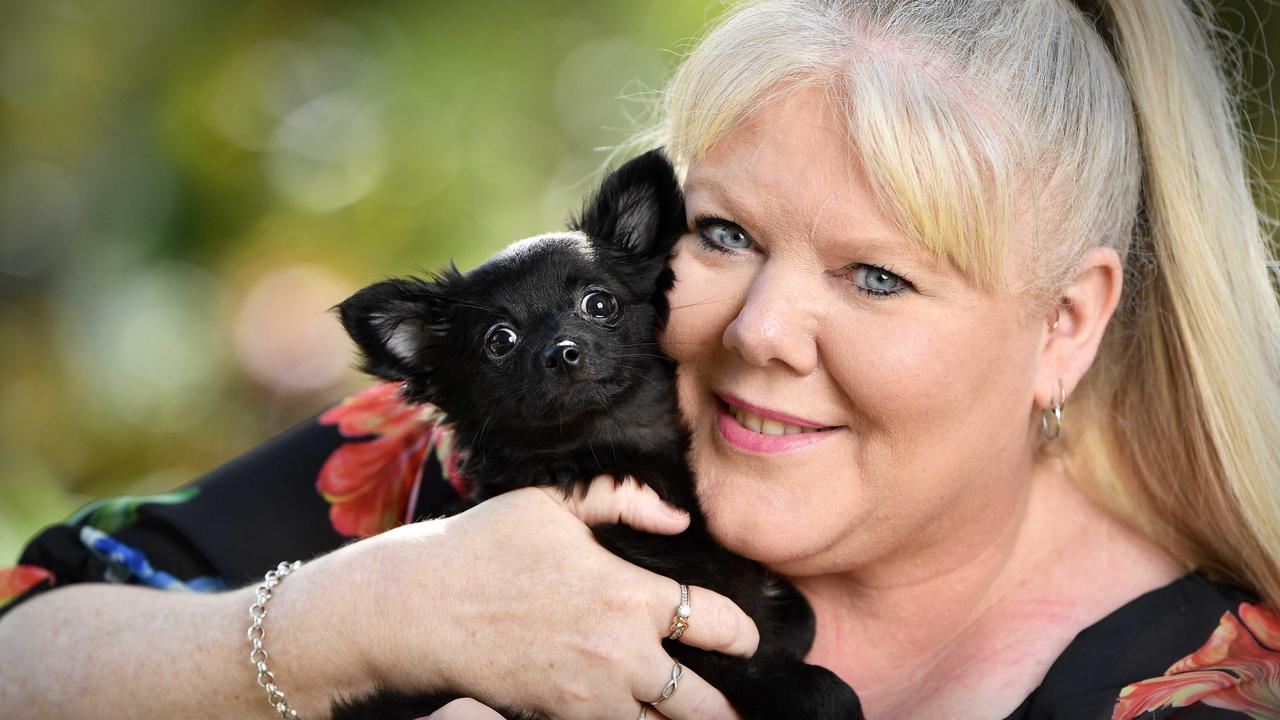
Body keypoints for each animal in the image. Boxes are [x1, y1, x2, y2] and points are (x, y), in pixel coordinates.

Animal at [327, 147, 860, 717]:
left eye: (599, 304)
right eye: (499, 341)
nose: (562, 351)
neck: (609, 450)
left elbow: (796, 613)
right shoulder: (685, 634)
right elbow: (774, 664)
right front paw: (812, 686)